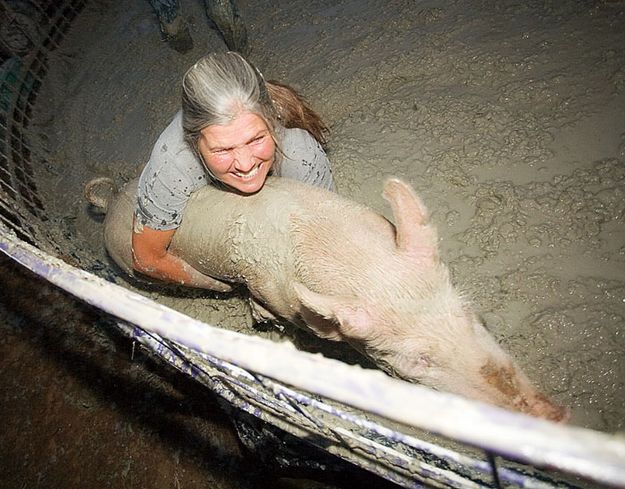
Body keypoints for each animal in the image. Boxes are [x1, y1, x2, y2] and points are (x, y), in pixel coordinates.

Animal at [85, 176, 568, 424]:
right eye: (418, 361)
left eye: (472, 314)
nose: (553, 414)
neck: (356, 263)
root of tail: (111, 199)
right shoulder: (267, 290)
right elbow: (267, 311)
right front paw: (265, 324)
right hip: (128, 259)